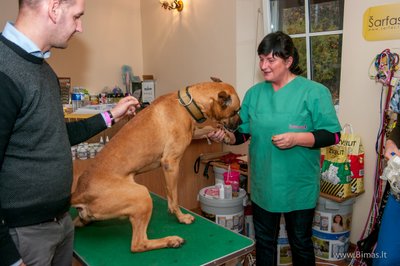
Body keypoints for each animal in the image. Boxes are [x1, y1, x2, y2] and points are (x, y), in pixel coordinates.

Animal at [70, 80, 241, 252]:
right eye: (236, 111)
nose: (240, 124)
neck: (187, 103)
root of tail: (79, 193)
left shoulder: (190, 135)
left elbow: (209, 128)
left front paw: (224, 135)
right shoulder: (171, 163)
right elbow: (174, 197)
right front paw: (181, 217)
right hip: (142, 195)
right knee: (138, 244)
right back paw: (171, 240)